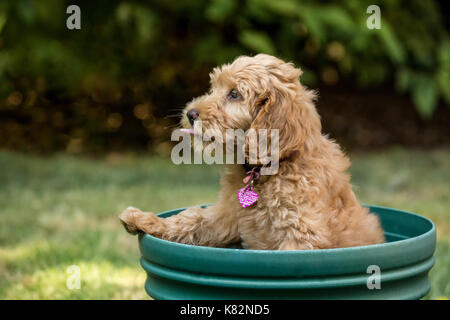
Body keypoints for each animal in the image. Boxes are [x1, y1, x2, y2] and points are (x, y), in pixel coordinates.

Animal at [118, 54, 384, 250]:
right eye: (214, 88)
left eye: (234, 94)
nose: (191, 113)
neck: (265, 171)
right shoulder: (226, 216)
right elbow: (191, 219)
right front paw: (143, 219)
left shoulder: (302, 235)